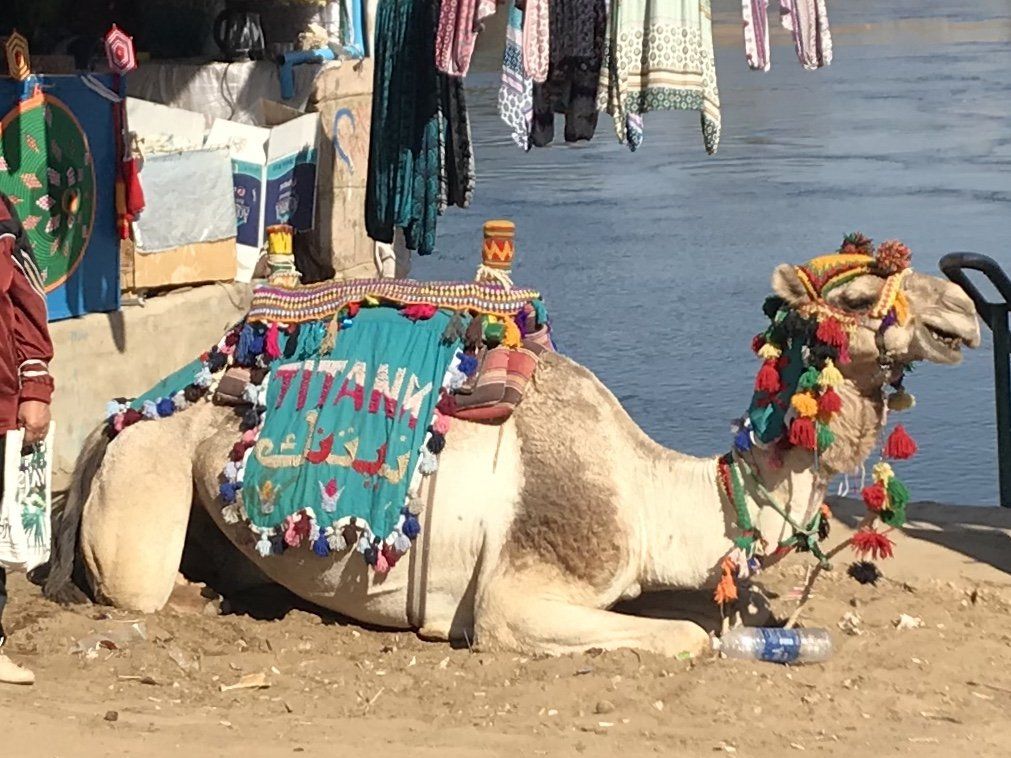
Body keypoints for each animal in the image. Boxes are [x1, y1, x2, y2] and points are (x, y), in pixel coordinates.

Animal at [41, 247, 978, 658]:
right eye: (858, 294)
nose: (964, 314)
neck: (649, 496)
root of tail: (122, 413)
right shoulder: (516, 595)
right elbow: (682, 637)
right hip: (144, 492)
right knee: (140, 585)